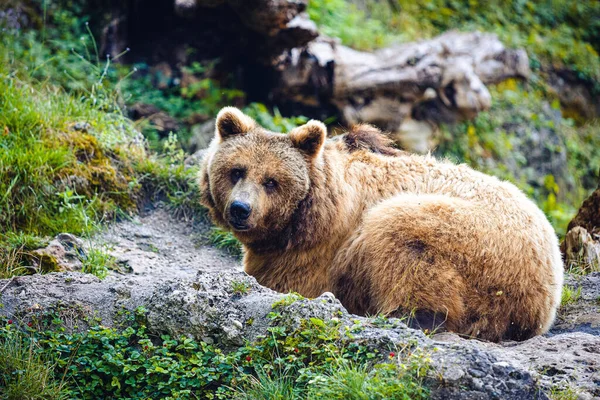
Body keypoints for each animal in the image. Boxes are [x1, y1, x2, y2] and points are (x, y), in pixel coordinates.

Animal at [200, 108, 564, 342]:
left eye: (272, 181)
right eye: (236, 171)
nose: (241, 209)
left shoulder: (320, 252)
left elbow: (288, 282)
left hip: (478, 244)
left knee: (403, 237)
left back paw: (404, 313)